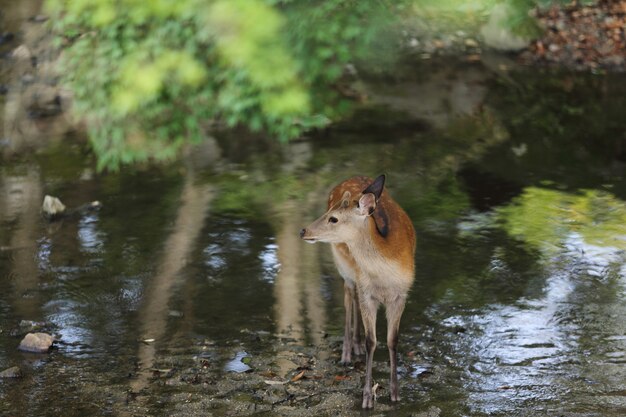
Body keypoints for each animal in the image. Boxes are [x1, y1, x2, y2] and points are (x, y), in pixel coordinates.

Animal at [302, 174, 416, 408]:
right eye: (328, 212)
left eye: (333, 218)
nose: (304, 230)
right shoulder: (367, 293)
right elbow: (372, 341)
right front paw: (367, 398)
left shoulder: (401, 294)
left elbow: (392, 340)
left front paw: (395, 393)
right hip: (344, 266)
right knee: (348, 296)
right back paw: (347, 352)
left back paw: (355, 346)